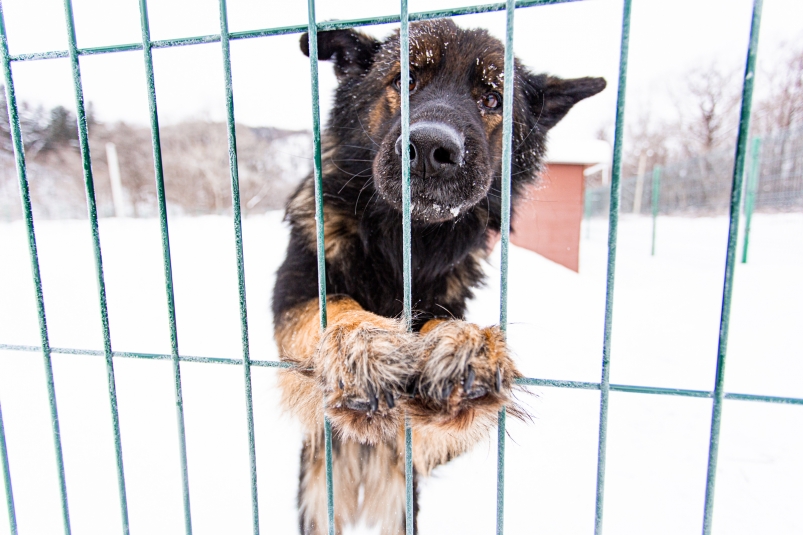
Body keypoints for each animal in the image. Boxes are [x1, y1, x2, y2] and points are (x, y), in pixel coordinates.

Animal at [274, 18, 608, 532]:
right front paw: (363, 345)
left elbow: (444, 332)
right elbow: (333, 307)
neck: (403, 244)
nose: (432, 148)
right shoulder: (294, 294)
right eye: (405, 80)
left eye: (491, 98)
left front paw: (464, 346)